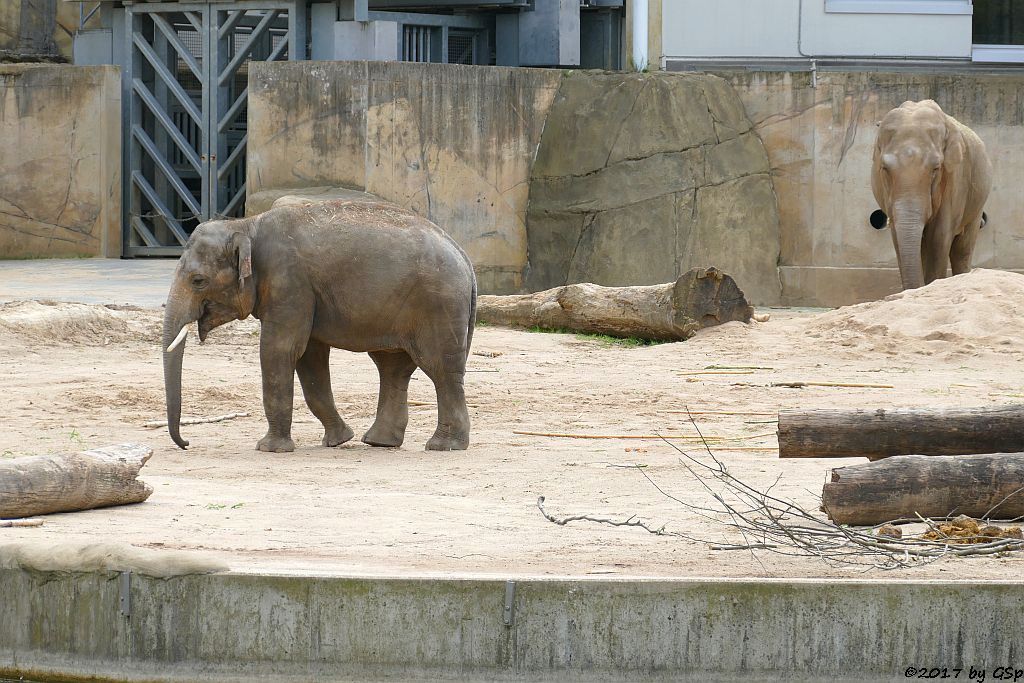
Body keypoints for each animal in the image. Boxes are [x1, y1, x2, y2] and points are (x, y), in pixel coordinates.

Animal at [161, 198, 477, 454]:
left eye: (198, 280)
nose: (186, 443)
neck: (245, 225)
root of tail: (463, 254)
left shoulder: (289, 282)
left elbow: (280, 350)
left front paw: (269, 449)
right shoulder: (303, 294)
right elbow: (309, 359)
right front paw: (338, 440)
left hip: (438, 306)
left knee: (440, 369)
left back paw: (444, 446)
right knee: (393, 367)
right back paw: (379, 442)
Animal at [864, 98, 991, 288]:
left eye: (936, 168)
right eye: (884, 168)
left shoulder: (956, 177)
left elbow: (938, 237)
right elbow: (898, 237)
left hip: (976, 203)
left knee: (962, 249)